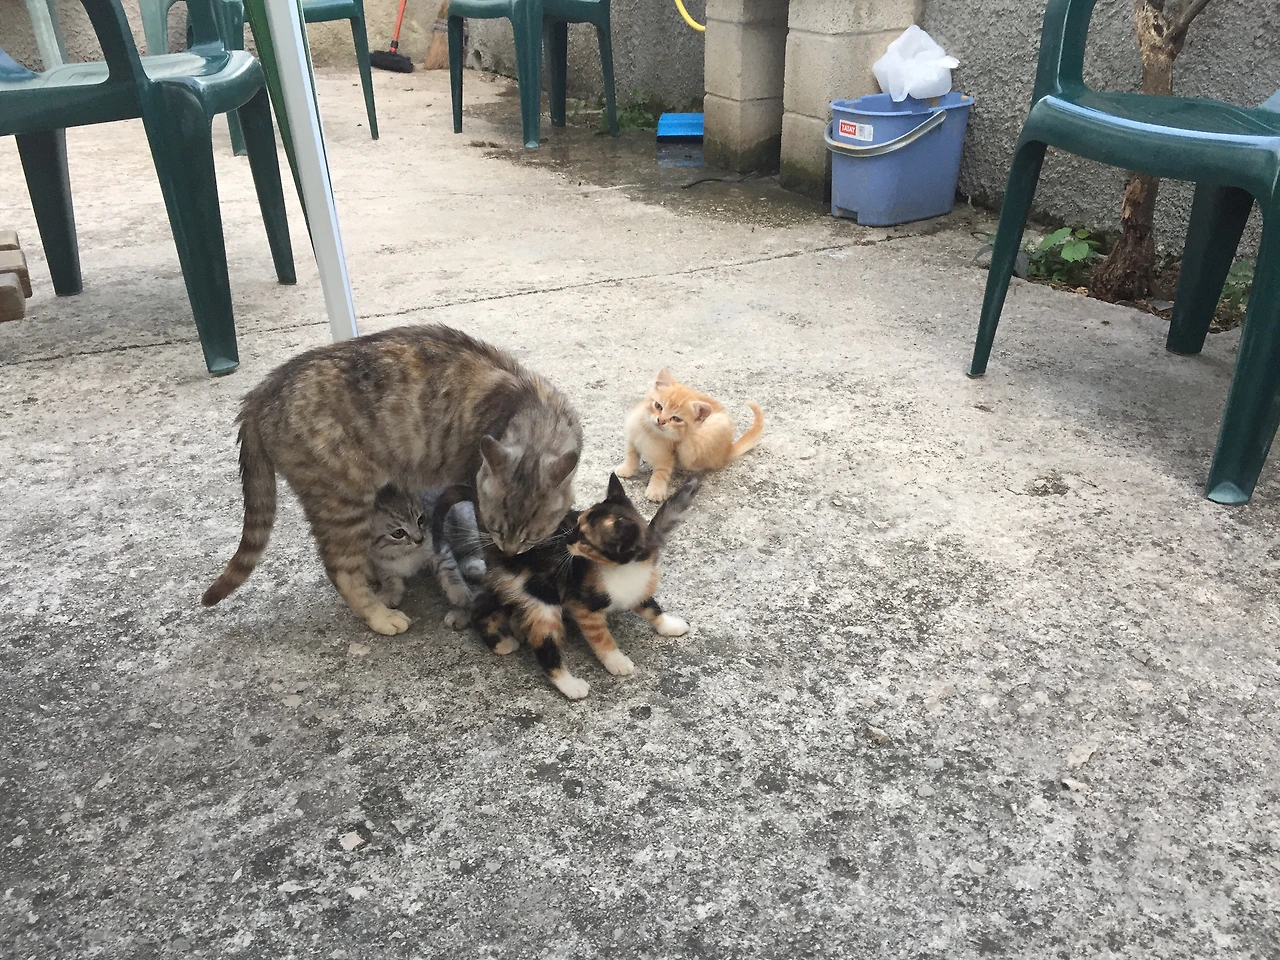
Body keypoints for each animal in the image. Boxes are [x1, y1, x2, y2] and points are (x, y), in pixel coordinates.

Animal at [201, 325, 582, 636]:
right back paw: (379, 616)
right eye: (499, 529)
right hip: (343, 501)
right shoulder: (474, 495)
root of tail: (261, 392)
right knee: (340, 569)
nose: (511, 550)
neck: (533, 413)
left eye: (532, 536)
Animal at [471, 474, 700, 699]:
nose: (566, 540)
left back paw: (508, 636)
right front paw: (616, 661)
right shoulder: (584, 606)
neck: (622, 569)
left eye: (584, 540)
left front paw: (669, 625)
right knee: (543, 643)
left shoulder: (639, 585)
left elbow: (651, 607)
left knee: (486, 609)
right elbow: (601, 638)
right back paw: (568, 684)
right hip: (543, 595)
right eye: (576, 525)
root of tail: (505, 546)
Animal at [616, 368, 763, 501]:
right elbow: (632, 455)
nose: (661, 420)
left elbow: (661, 471)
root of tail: (727, 450)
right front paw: (627, 469)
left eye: (676, 419)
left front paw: (656, 490)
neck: (651, 433)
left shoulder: (668, 454)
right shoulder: (633, 434)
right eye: (658, 406)